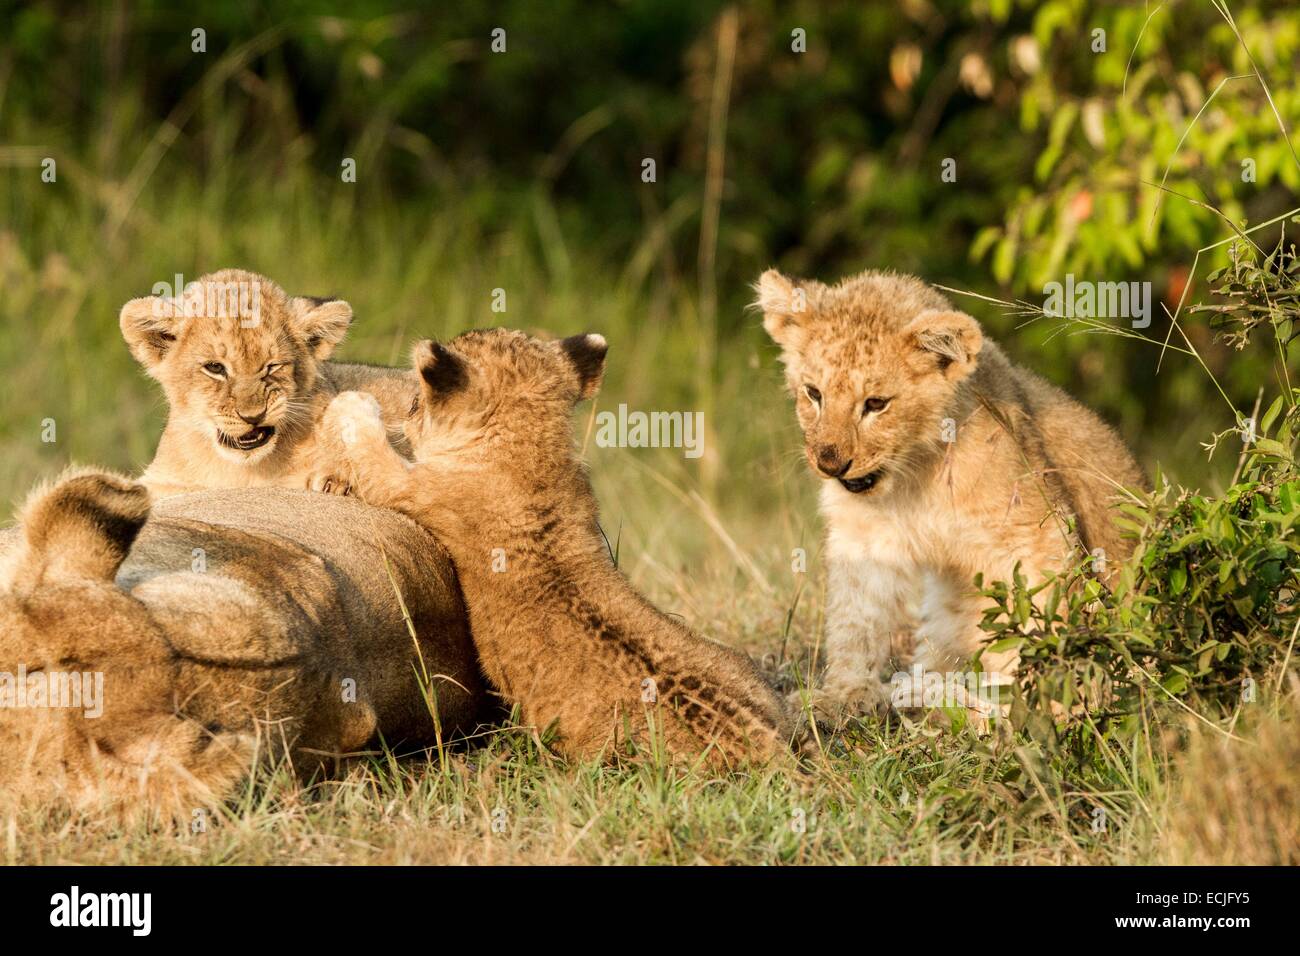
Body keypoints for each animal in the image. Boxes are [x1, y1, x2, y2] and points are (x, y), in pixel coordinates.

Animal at [118, 268, 417, 497]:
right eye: (215, 368)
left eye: (272, 366)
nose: (253, 416)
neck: (244, 472)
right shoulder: (162, 481)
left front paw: (339, 481)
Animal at [756, 268, 1146, 722]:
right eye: (813, 394)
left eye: (876, 403)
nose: (830, 463)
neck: (913, 474)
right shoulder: (864, 534)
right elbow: (855, 616)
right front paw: (843, 695)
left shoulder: (1035, 529)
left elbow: (1045, 611)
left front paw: (1054, 702)